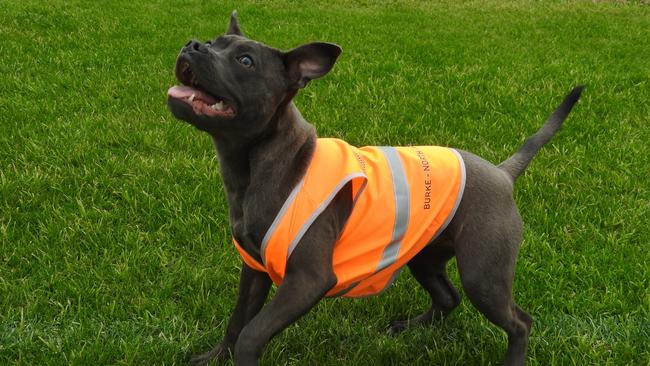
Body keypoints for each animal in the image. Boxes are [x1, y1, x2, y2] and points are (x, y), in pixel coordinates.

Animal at [166, 11, 584, 366]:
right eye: (212, 41)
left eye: (246, 61)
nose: (193, 44)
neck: (262, 165)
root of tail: (502, 174)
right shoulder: (254, 270)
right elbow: (237, 322)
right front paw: (213, 358)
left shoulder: (307, 279)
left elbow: (252, 333)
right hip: (425, 257)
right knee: (448, 297)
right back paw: (411, 328)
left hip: (484, 274)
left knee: (519, 322)